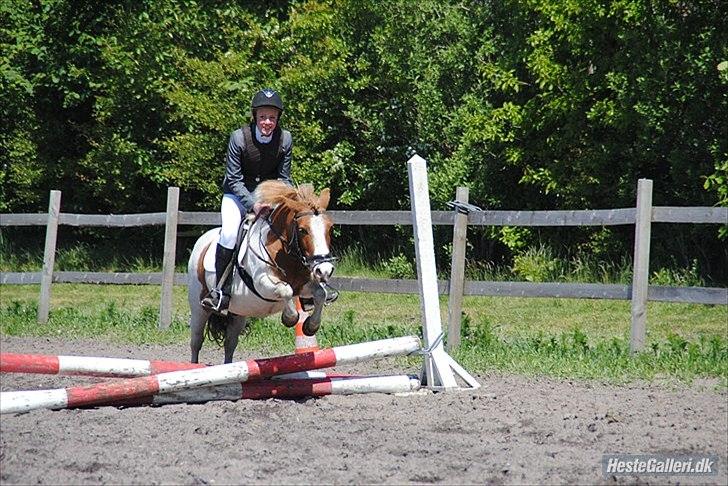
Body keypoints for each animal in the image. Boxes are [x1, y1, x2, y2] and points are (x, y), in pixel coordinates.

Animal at [188, 180, 336, 362]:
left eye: (330, 228)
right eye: (302, 230)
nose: (324, 270)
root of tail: (203, 241)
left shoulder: (305, 285)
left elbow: (321, 294)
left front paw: (310, 326)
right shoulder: (262, 283)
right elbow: (285, 290)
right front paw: (289, 318)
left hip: (238, 313)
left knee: (230, 343)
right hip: (199, 307)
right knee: (196, 342)